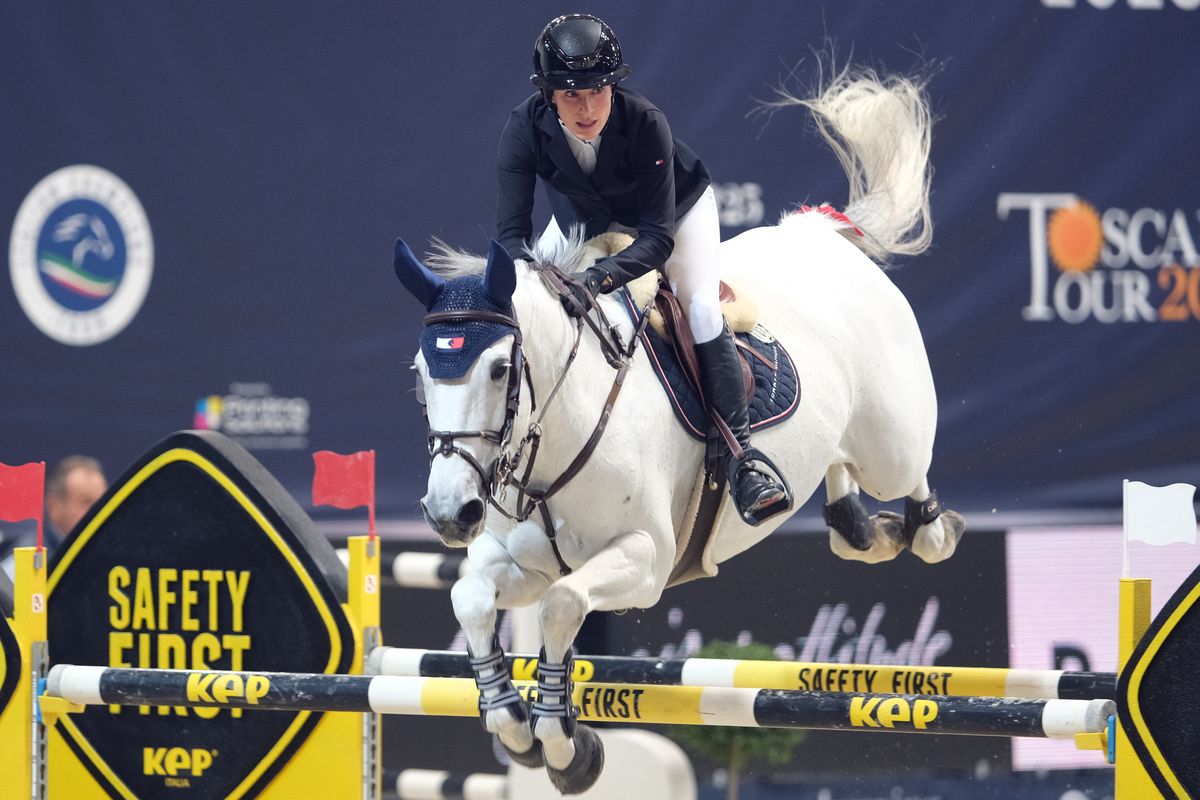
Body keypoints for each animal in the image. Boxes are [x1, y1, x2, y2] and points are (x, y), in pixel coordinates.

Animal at [393, 68, 964, 796]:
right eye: (420, 374)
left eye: (499, 370)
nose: (449, 513)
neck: (559, 431)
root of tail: (823, 236)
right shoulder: (524, 560)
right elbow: (470, 596)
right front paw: (515, 727)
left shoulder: (645, 560)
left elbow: (562, 607)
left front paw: (564, 748)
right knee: (845, 489)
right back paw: (860, 527)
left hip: (891, 442)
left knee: (909, 481)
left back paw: (922, 527)